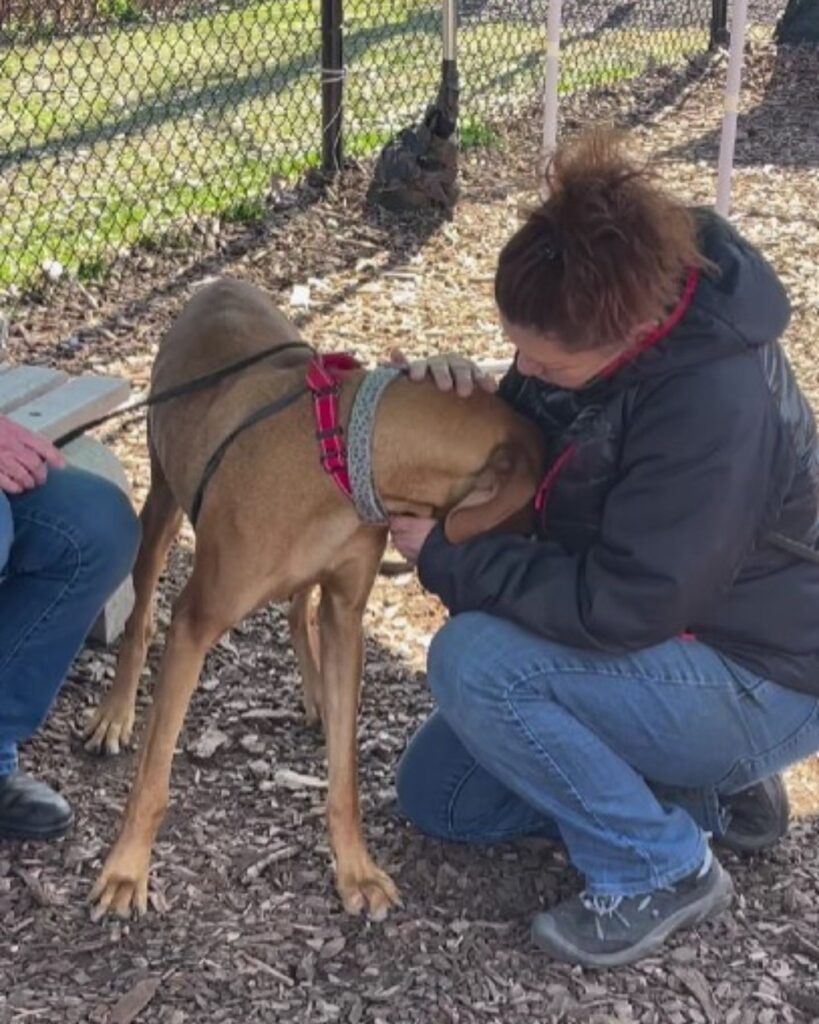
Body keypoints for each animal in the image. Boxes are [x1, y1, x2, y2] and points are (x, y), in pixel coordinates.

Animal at [82, 278, 544, 921]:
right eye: (535, 505)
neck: (345, 453)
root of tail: (220, 282)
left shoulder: (346, 615)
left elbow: (345, 776)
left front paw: (357, 871)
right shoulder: (196, 622)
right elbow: (154, 774)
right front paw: (126, 871)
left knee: (298, 608)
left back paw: (315, 690)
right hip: (163, 499)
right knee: (142, 614)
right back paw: (116, 713)